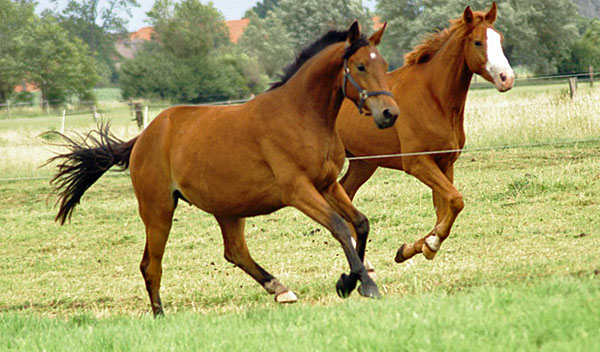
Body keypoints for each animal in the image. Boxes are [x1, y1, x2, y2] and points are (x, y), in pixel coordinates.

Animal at [48, 21, 398, 316]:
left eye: (383, 65)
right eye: (360, 66)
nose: (389, 113)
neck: (302, 116)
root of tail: (143, 138)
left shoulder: (327, 184)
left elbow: (360, 223)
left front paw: (348, 281)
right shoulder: (298, 190)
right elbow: (339, 226)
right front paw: (365, 285)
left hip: (228, 209)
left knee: (235, 251)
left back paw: (280, 289)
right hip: (158, 210)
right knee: (151, 264)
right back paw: (160, 315)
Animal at [336, 3, 512, 266]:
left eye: (499, 39)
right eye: (478, 42)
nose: (506, 78)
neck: (433, 97)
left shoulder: (445, 162)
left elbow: (445, 209)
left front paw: (414, 248)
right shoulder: (418, 163)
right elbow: (455, 200)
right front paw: (430, 244)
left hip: (363, 163)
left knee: (346, 194)